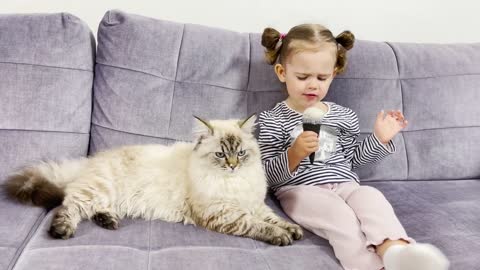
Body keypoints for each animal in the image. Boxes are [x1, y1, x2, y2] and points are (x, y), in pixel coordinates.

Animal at [3, 115, 302, 246]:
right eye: (220, 154)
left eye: (240, 153)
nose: (232, 166)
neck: (233, 184)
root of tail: (90, 161)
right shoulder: (224, 212)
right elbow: (257, 225)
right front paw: (282, 237)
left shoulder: (253, 204)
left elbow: (272, 217)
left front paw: (293, 230)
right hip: (97, 191)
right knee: (70, 207)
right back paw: (62, 230)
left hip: (106, 197)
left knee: (94, 209)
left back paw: (108, 221)